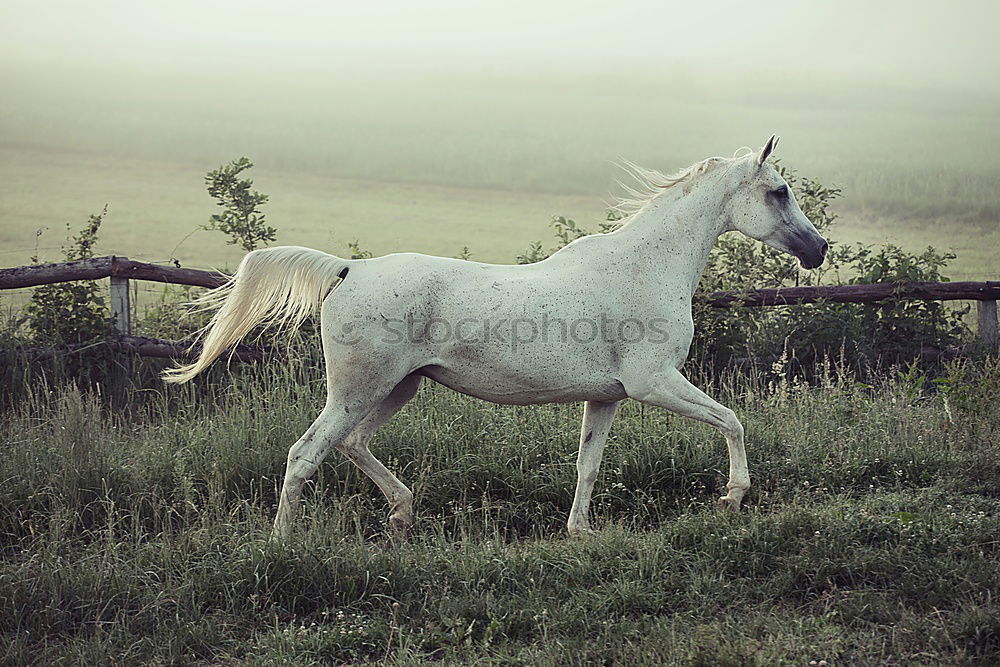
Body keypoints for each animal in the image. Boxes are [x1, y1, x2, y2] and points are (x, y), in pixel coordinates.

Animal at [166, 136, 828, 536]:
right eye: (778, 192)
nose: (819, 250)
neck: (646, 264)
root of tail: (348, 269)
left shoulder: (607, 396)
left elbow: (588, 465)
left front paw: (579, 532)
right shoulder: (655, 383)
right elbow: (733, 422)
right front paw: (733, 498)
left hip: (399, 388)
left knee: (352, 444)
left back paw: (403, 516)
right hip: (356, 391)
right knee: (306, 455)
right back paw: (285, 545)